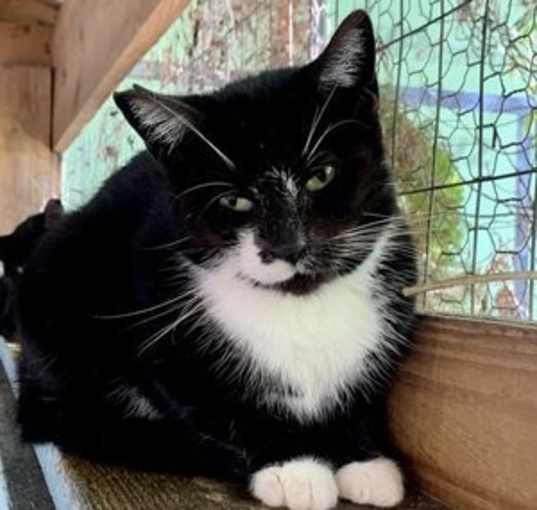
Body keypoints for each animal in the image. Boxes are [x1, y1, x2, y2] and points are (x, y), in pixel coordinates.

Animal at [16, 11, 416, 510]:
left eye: (321, 175)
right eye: (235, 201)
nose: (289, 247)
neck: (300, 306)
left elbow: (364, 391)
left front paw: (362, 458)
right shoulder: (159, 317)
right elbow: (212, 405)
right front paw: (292, 466)